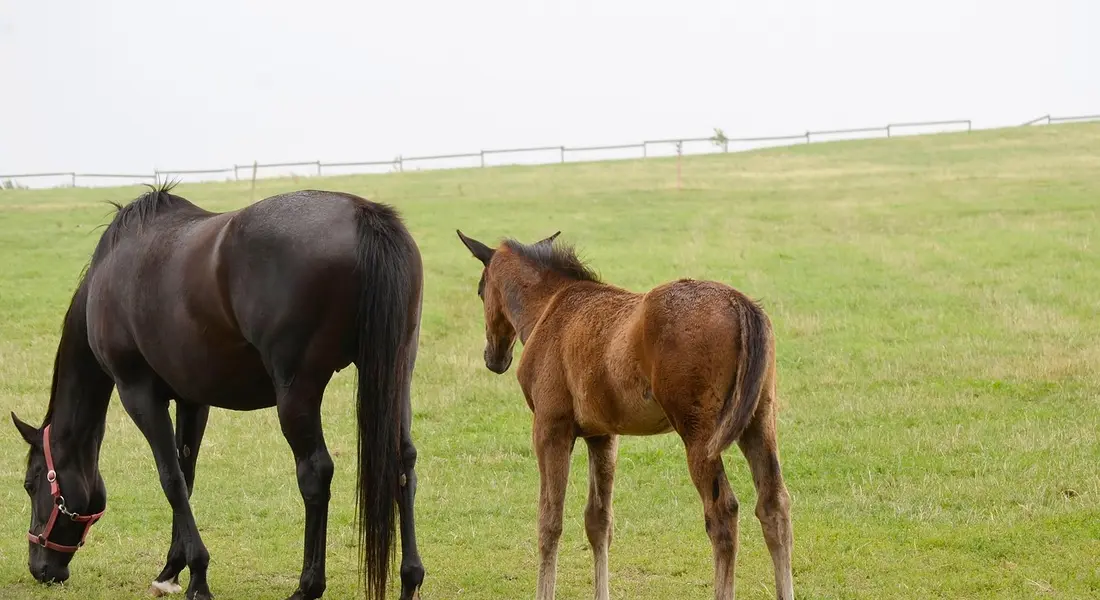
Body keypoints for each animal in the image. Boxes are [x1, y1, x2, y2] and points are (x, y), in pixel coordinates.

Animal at [11, 183, 427, 600]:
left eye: (31, 484)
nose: (41, 568)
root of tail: (363, 215)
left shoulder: (138, 394)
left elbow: (171, 479)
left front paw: (197, 575)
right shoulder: (193, 400)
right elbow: (187, 474)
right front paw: (172, 568)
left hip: (297, 391)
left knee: (315, 472)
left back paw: (307, 585)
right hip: (396, 373)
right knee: (402, 461)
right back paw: (410, 577)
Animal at [455, 230, 794, 600]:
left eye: (480, 290)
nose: (494, 358)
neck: (549, 308)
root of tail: (740, 303)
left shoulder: (550, 427)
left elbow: (550, 520)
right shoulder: (602, 435)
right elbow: (598, 520)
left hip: (699, 436)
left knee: (723, 514)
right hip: (758, 422)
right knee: (774, 504)